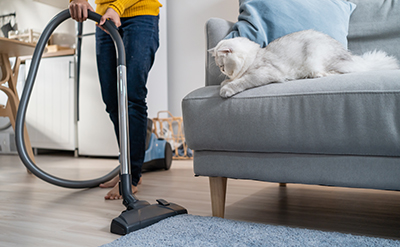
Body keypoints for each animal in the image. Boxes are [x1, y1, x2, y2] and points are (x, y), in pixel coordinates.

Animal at [211, 29, 398, 98]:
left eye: (222, 65)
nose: (222, 70)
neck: (256, 55)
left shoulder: (264, 72)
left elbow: (242, 81)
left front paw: (226, 89)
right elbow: (234, 80)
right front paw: (225, 82)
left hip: (316, 56)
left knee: (333, 72)